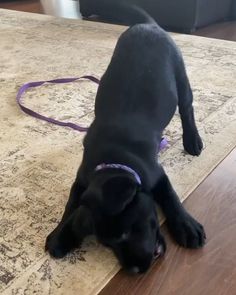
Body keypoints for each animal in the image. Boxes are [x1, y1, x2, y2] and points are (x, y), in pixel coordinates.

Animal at [45, 6, 206, 276]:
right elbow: (71, 203)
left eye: (125, 233)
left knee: (187, 109)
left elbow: (170, 197)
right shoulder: (82, 178)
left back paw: (192, 140)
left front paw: (186, 226)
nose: (134, 270)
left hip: (181, 77)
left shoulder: (157, 173)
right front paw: (61, 234)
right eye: (106, 244)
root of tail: (148, 26)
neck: (114, 159)